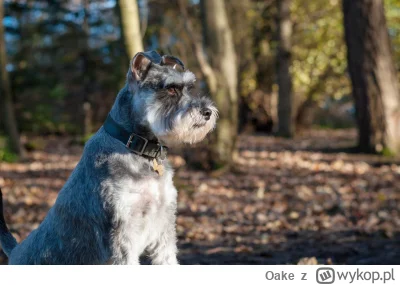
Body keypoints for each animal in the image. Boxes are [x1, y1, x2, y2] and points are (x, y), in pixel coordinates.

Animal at [0, 51, 217, 264]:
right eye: (171, 89)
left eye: (189, 87)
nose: (207, 112)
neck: (135, 147)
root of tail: (15, 252)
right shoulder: (122, 236)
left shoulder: (164, 229)